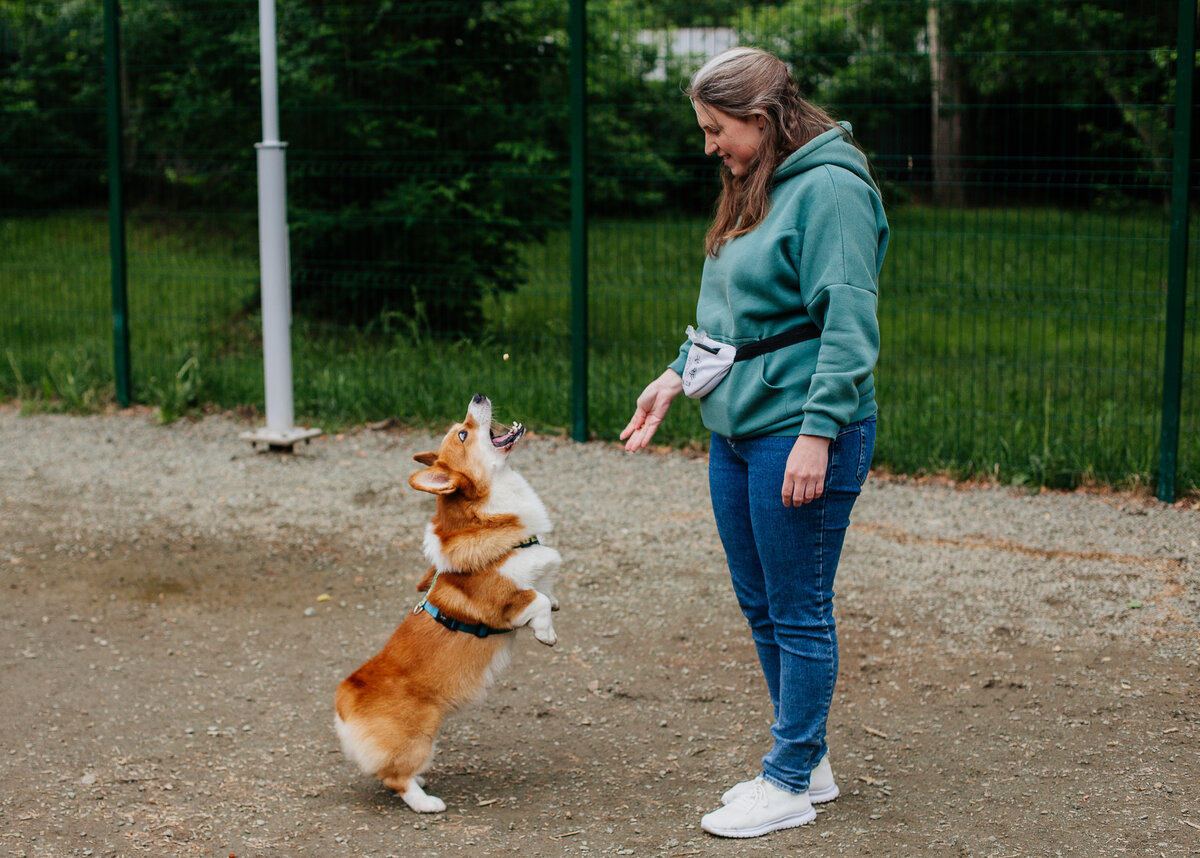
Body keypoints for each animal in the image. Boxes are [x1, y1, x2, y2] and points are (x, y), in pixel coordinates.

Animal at [336, 393, 559, 811]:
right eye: (463, 433)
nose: (478, 396)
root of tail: (345, 701)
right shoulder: (504, 602)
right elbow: (534, 600)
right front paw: (546, 634)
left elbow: (547, 591)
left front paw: (554, 607)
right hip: (420, 737)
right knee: (396, 778)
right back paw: (427, 802)